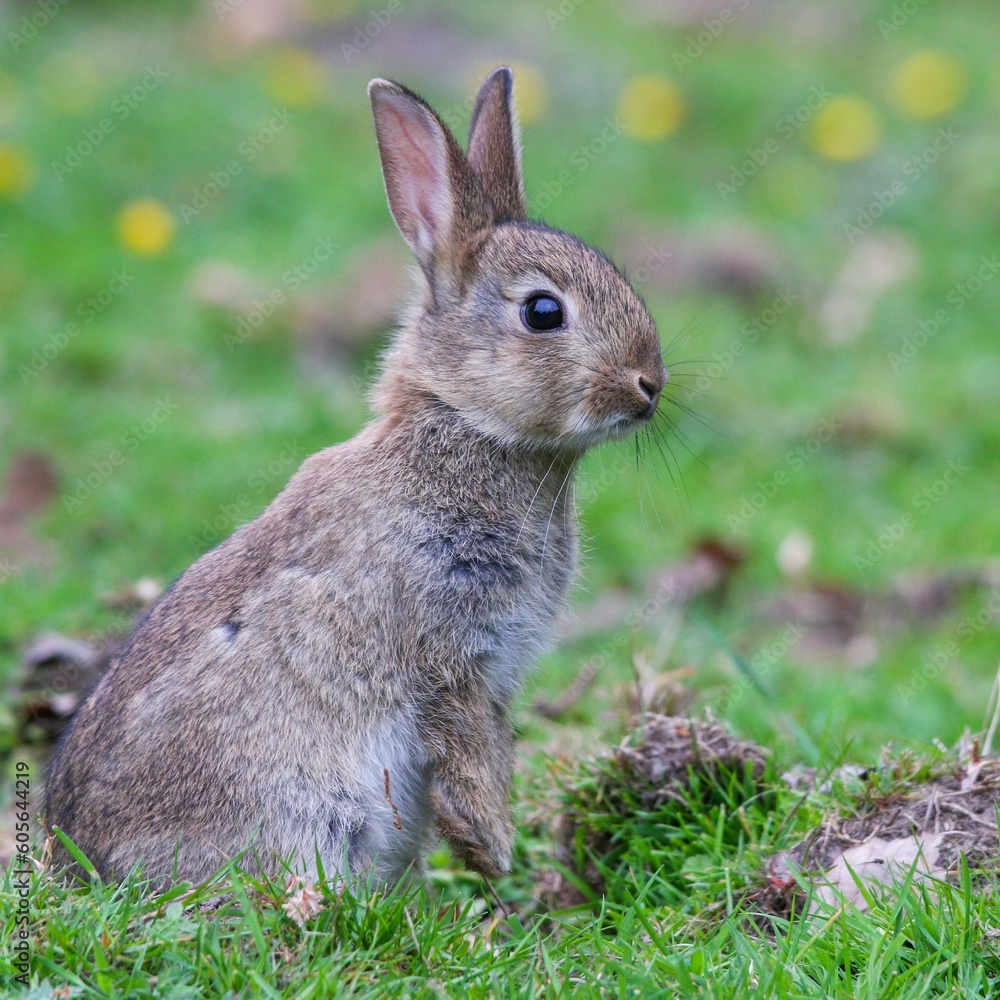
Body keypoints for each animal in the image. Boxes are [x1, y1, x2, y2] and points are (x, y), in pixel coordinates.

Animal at [43, 66, 668, 887]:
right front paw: (500, 865)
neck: (466, 426)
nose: (649, 384)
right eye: (542, 312)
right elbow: (469, 765)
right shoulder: (447, 659)